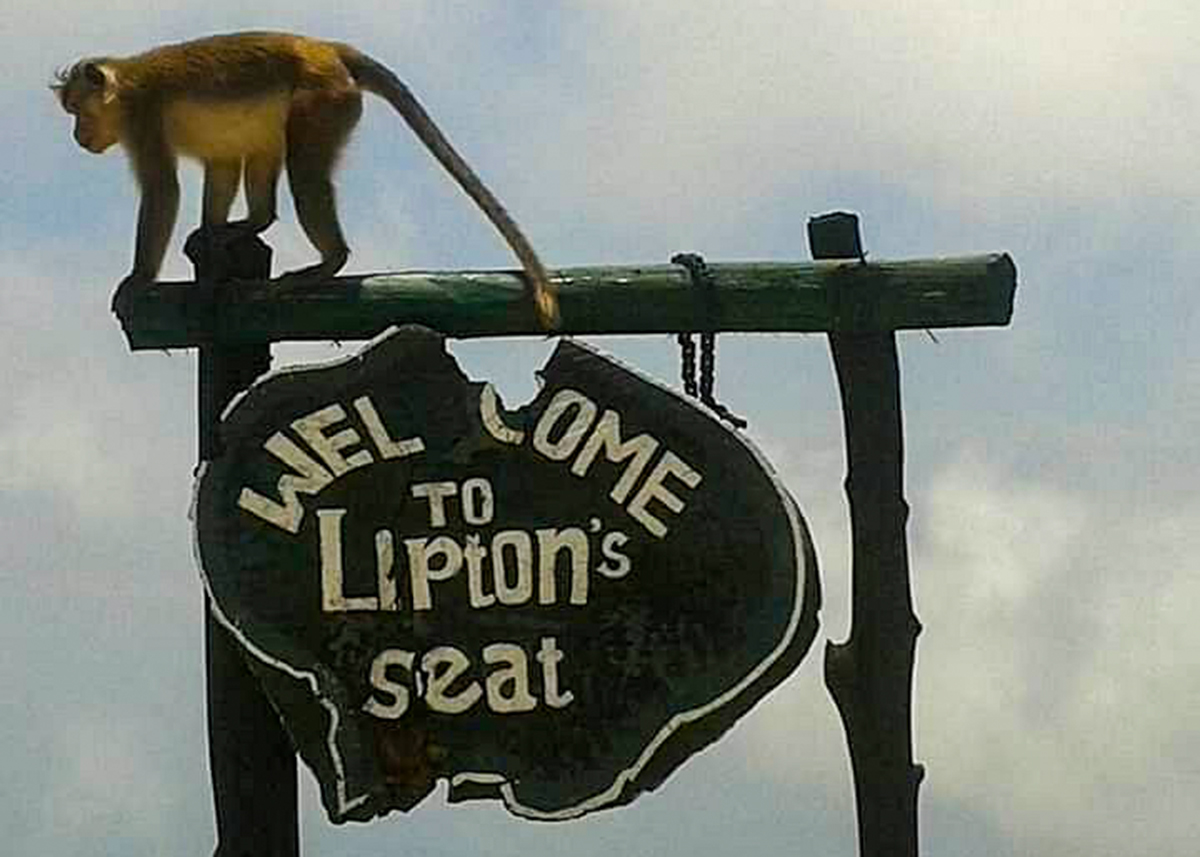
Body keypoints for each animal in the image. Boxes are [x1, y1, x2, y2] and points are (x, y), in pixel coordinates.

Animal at [53, 32, 559, 328]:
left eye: (78, 109)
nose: (77, 134)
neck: (124, 87)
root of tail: (327, 49)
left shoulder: (143, 119)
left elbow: (163, 191)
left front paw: (139, 279)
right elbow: (222, 163)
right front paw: (212, 234)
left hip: (323, 103)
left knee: (305, 171)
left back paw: (330, 260)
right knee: (264, 150)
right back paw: (252, 222)